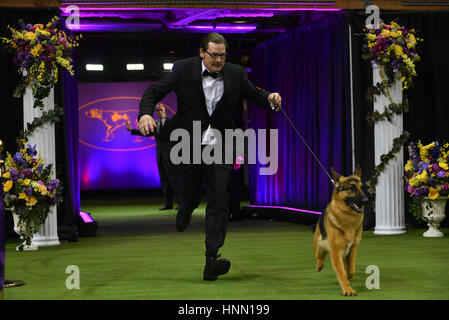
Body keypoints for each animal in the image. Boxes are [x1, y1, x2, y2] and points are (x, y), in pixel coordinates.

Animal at [312, 166, 368, 296]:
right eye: (351, 188)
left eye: (361, 187)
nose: (366, 200)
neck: (347, 216)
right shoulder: (336, 251)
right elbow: (342, 273)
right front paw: (348, 290)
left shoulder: (353, 248)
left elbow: (350, 270)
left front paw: (348, 277)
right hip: (318, 246)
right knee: (320, 254)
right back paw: (319, 266)